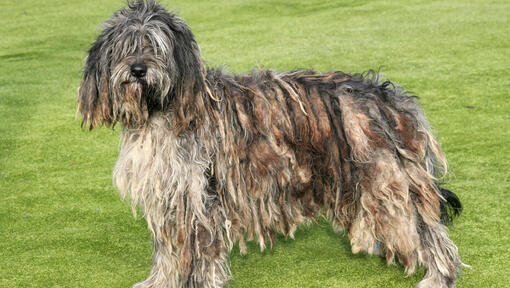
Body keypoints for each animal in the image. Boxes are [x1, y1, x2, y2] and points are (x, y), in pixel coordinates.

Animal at [76, 1, 466, 286]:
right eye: (125, 47)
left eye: (155, 46)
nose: (139, 70)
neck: (163, 109)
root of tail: (390, 97)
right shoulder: (171, 196)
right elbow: (171, 253)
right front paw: (161, 282)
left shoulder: (200, 195)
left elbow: (201, 254)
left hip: (387, 181)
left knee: (429, 232)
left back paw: (439, 277)